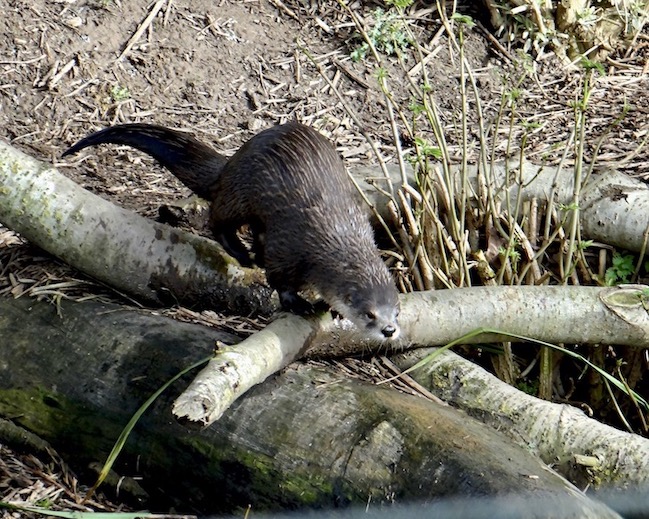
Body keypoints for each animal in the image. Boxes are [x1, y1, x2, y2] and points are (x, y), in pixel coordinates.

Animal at [63, 122, 400, 340]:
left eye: (395, 311)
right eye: (370, 313)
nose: (389, 330)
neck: (333, 237)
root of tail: (232, 162)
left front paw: (330, 307)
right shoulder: (290, 243)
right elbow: (278, 275)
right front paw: (295, 302)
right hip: (241, 193)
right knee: (218, 218)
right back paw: (241, 252)